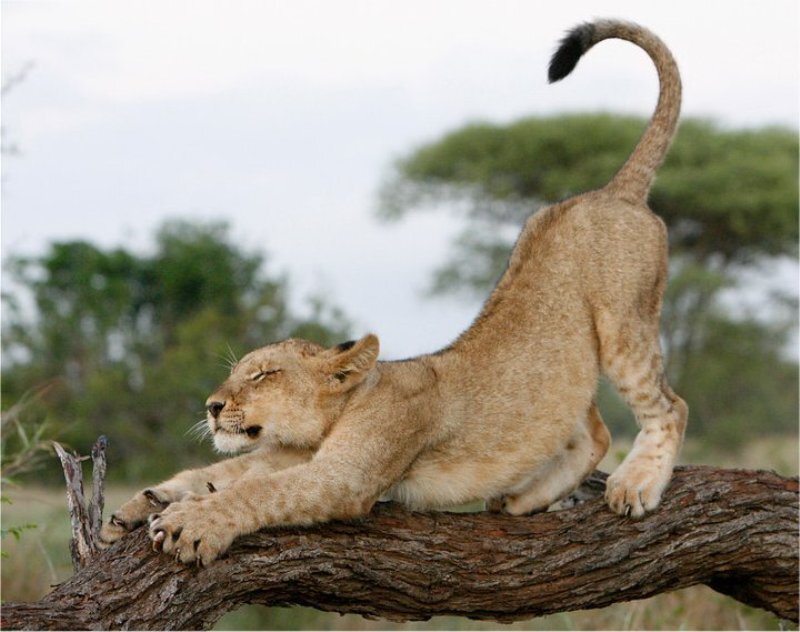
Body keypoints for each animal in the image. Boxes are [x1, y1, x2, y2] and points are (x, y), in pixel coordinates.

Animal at [102, 19, 688, 565]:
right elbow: (210, 473)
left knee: (668, 406)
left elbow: (257, 491)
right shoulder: (282, 455)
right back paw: (523, 499)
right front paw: (136, 508)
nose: (212, 406)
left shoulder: (342, 476)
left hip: (624, 325)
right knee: (594, 431)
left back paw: (636, 485)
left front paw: (190, 523)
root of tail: (615, 192)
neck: (341, 412)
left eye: (263, 375)